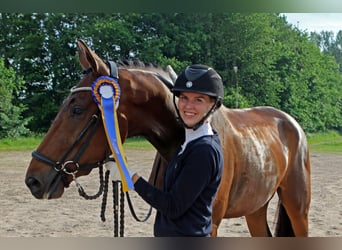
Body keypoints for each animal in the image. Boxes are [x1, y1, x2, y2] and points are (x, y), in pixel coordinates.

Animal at [24, 39, 310, 236]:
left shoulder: (211, 226)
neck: (186, 138)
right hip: (255, 208)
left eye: (77, 110)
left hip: (297, 208)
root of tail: (291, 122)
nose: (33, 180)